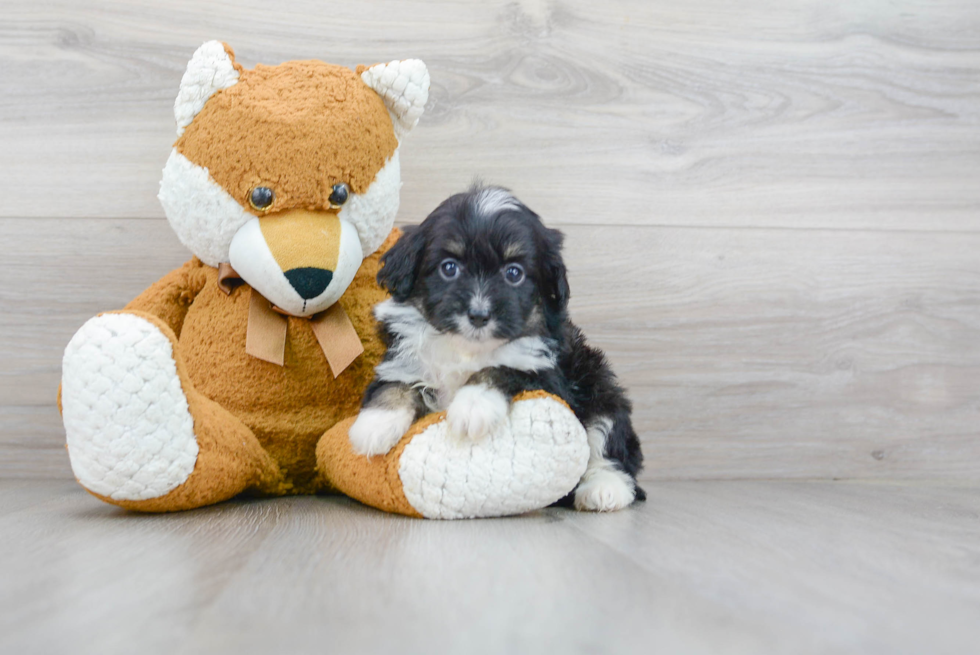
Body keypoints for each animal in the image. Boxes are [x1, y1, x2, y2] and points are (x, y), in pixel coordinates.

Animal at [348, 184, 648, 512]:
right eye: (449, 268)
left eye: (514, 273)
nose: (479, 315)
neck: (466, 349)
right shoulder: (402, 359)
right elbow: (395, 384)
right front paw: (374, 426)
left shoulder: (548, 375)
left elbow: (501, 368)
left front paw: (472, 405)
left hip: (600, 386)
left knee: (609, 446)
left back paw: (604, 490)